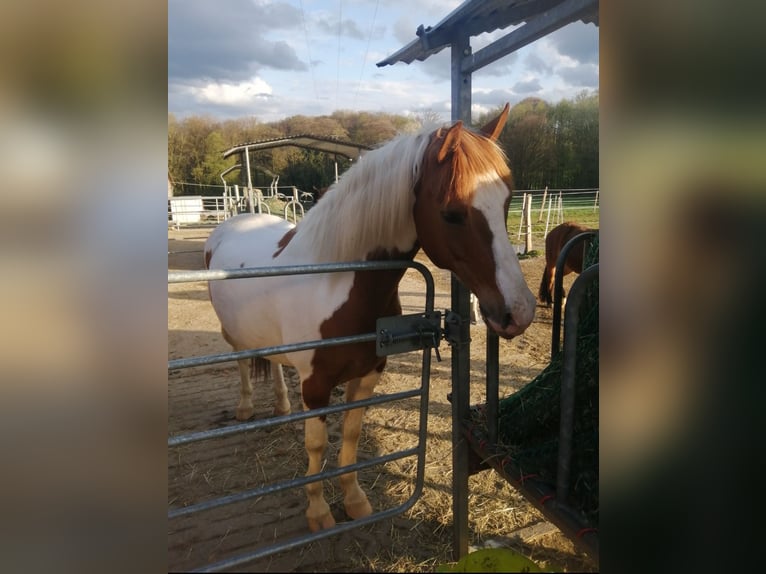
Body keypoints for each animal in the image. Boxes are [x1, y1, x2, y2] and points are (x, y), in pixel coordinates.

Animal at [207, 104, 536, 536]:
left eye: (507, 201)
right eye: (452, 214)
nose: (520, 311)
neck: (336, 282)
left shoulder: (367, 377)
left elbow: (351, 436)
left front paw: (355, 501)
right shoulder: (315, 387)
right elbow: (317, 446)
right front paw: (318, 513)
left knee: (272, 363)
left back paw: (280, 405)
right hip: (232, 334)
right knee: (244, 362)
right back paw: (246, 408)